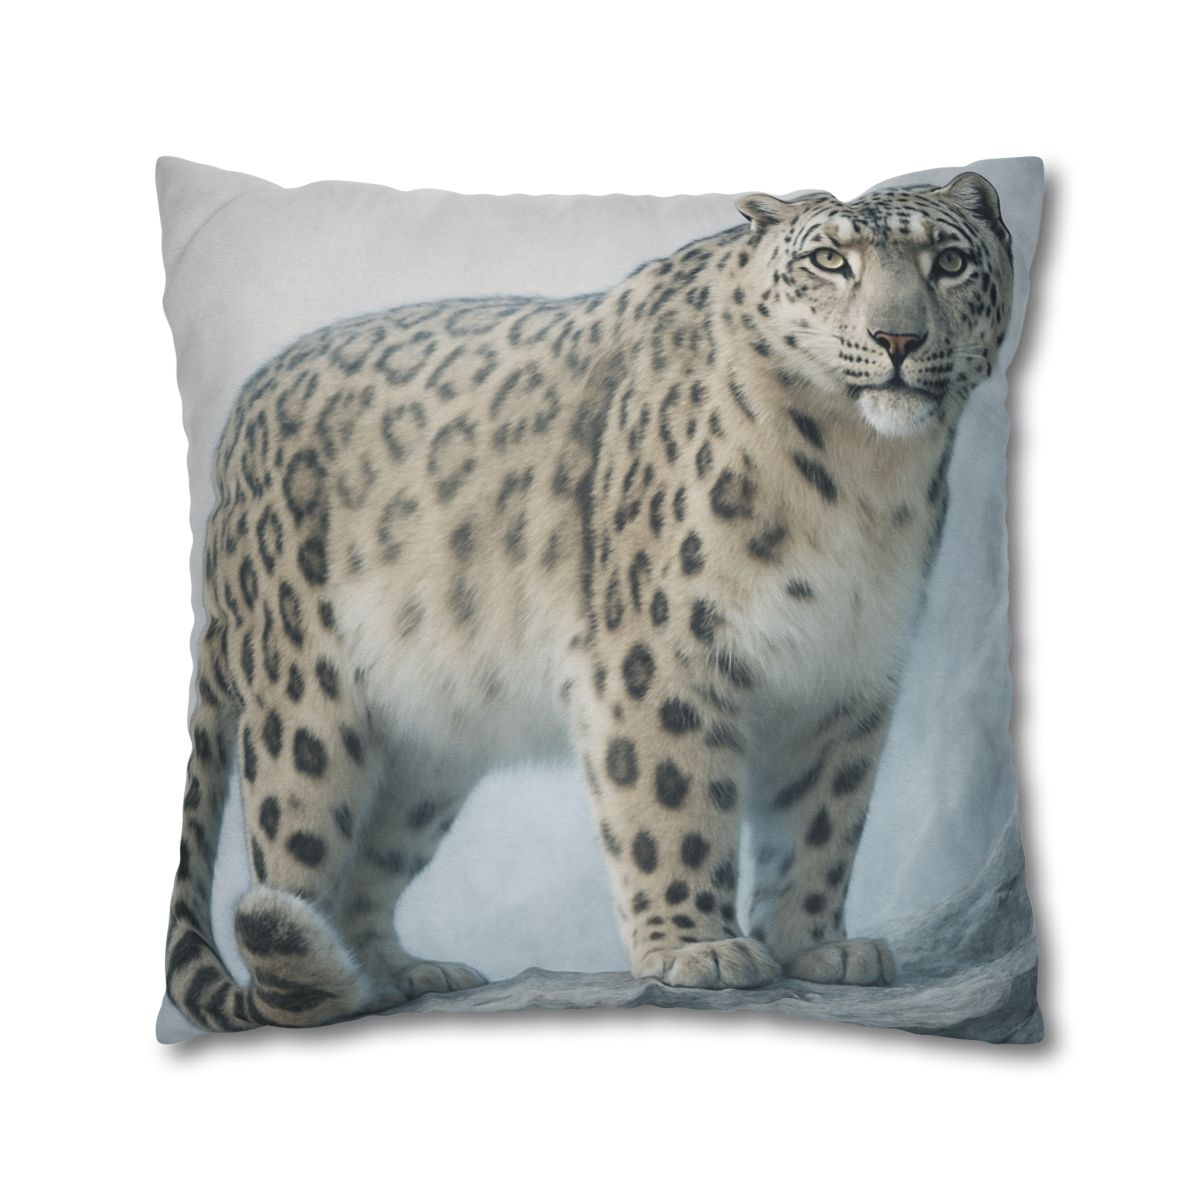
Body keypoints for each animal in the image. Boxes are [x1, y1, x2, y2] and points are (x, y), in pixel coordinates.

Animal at [164, 172, 1013, 1031]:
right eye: (831, 260)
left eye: (948, 262)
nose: (898, 339)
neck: (863, 481)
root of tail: (236, 428)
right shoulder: (659, 652)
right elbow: (674, 801)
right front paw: (698, 947)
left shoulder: (848, 673)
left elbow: (821, 821)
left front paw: (818, 946)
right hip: (305, 714)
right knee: (295, 864)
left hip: (425, 754)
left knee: (370, 863)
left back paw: (400, 973)